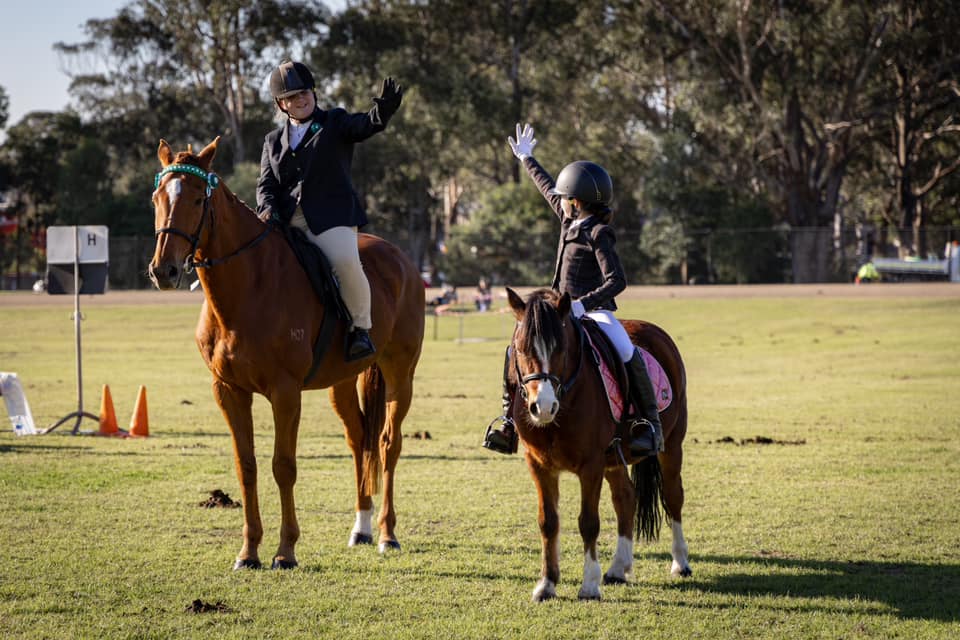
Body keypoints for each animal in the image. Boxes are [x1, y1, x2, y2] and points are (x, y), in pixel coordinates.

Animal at [147, 137, 425, 569]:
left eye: (195, 199)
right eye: (157, 198)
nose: (164, 271)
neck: (247, 287)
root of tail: (402, 261)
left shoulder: (285, 392)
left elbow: (283, 466)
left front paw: (286, 551)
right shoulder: (228, 391)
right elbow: (246, 466)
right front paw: (248, 552)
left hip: (400, 373)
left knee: (387, 444)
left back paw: (386, 534)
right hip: (342, 382)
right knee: (358, 439)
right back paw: (361, 528)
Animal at [505, 287, 691, 601]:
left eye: (561, 348)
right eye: (519, 348)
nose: (543, 407)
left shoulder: (590, 464)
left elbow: (588, 522)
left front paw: (589, 585)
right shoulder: (538, 464)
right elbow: (548, 522)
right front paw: (547, 583)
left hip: (671, 444)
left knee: (673, 495)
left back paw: (680, 563)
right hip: (614, 457)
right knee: (626, 498)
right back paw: (618, 568)